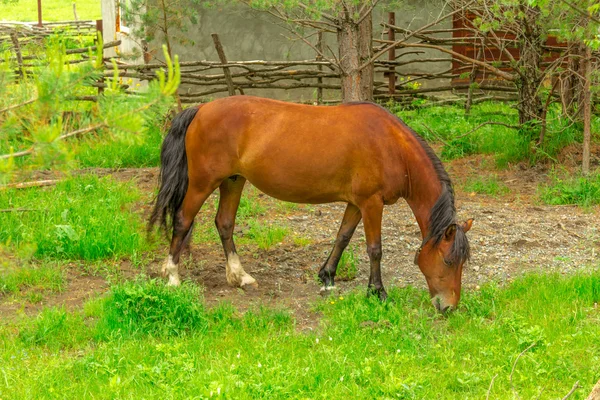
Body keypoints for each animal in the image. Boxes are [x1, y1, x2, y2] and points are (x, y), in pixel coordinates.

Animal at [149, 96, 474, 312]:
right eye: (448, 261)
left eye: (463, 263)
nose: (449, 306)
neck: (391, 145)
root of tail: (201, 108)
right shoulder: (371, 203)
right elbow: (374, 249)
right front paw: (377, 292)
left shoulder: (356, 203)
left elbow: (343, 237)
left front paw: (327, 277)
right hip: (203, 183)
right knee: (183, 220)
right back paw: (172, 275)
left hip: (233, 180)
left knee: (225, 223)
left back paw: (240, 277)